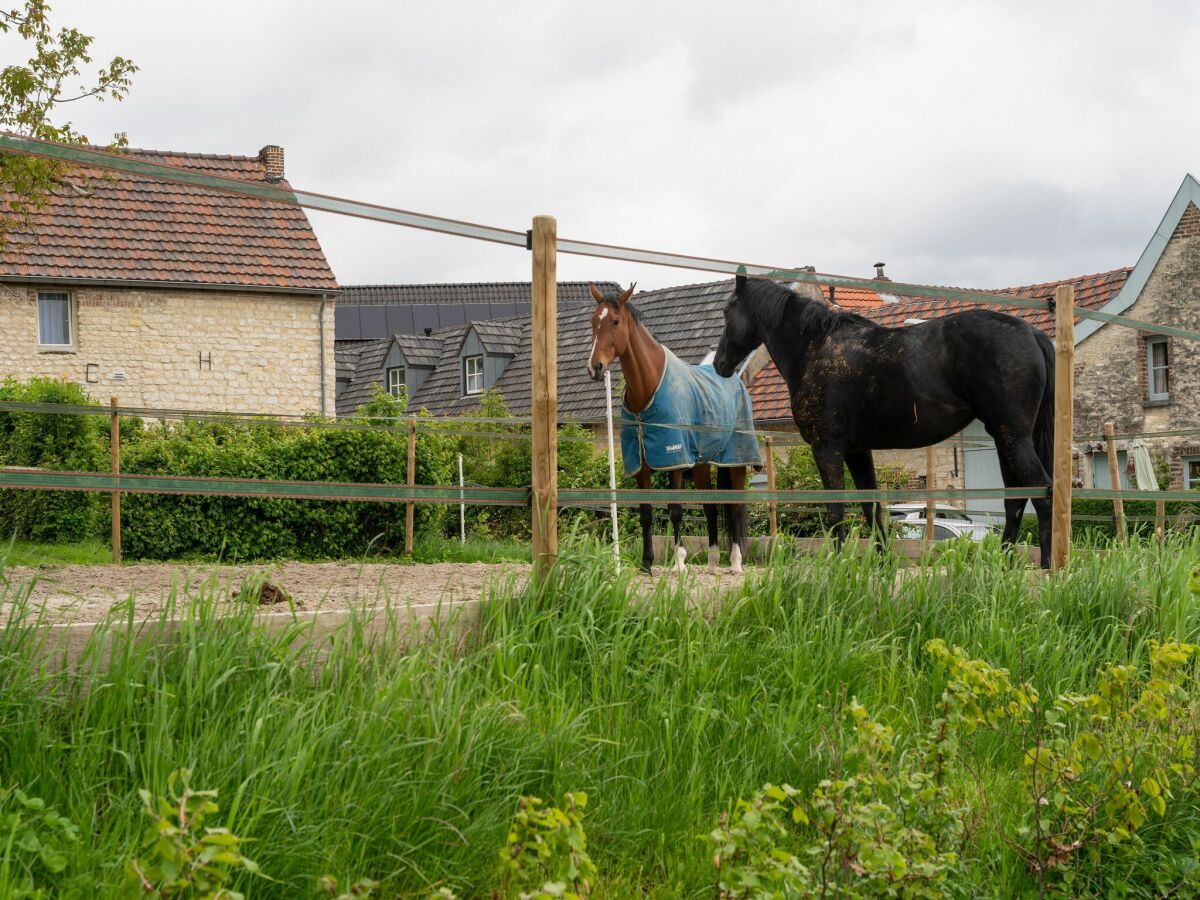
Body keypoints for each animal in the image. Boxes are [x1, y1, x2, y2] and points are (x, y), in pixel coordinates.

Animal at [583, 283, 748, 578]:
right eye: (592, 321)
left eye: (615, 321)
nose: (595, 367)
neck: (647, 388)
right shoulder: (642, 464)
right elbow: (646, 513)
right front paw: (646, 563)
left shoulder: (674, 461)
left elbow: (675, 509)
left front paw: (679, 561)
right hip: (702, 465)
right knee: (711, 507)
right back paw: (713, 561)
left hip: (736, 462)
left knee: (736, 507)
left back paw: (736, 562)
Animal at [705, 278, 1056, 566]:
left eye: (726, 311)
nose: (720, 364)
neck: (813, 348)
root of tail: (1030, 332)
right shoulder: (857, 451)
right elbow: (871, 506)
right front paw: (883, 563)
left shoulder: (826, 448)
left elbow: (836, 510)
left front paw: (838, 565)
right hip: (1003, 438)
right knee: (1015, 500)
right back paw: (1004, 564)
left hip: (1012, 438)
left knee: (1043, 492)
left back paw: (1047, 565)